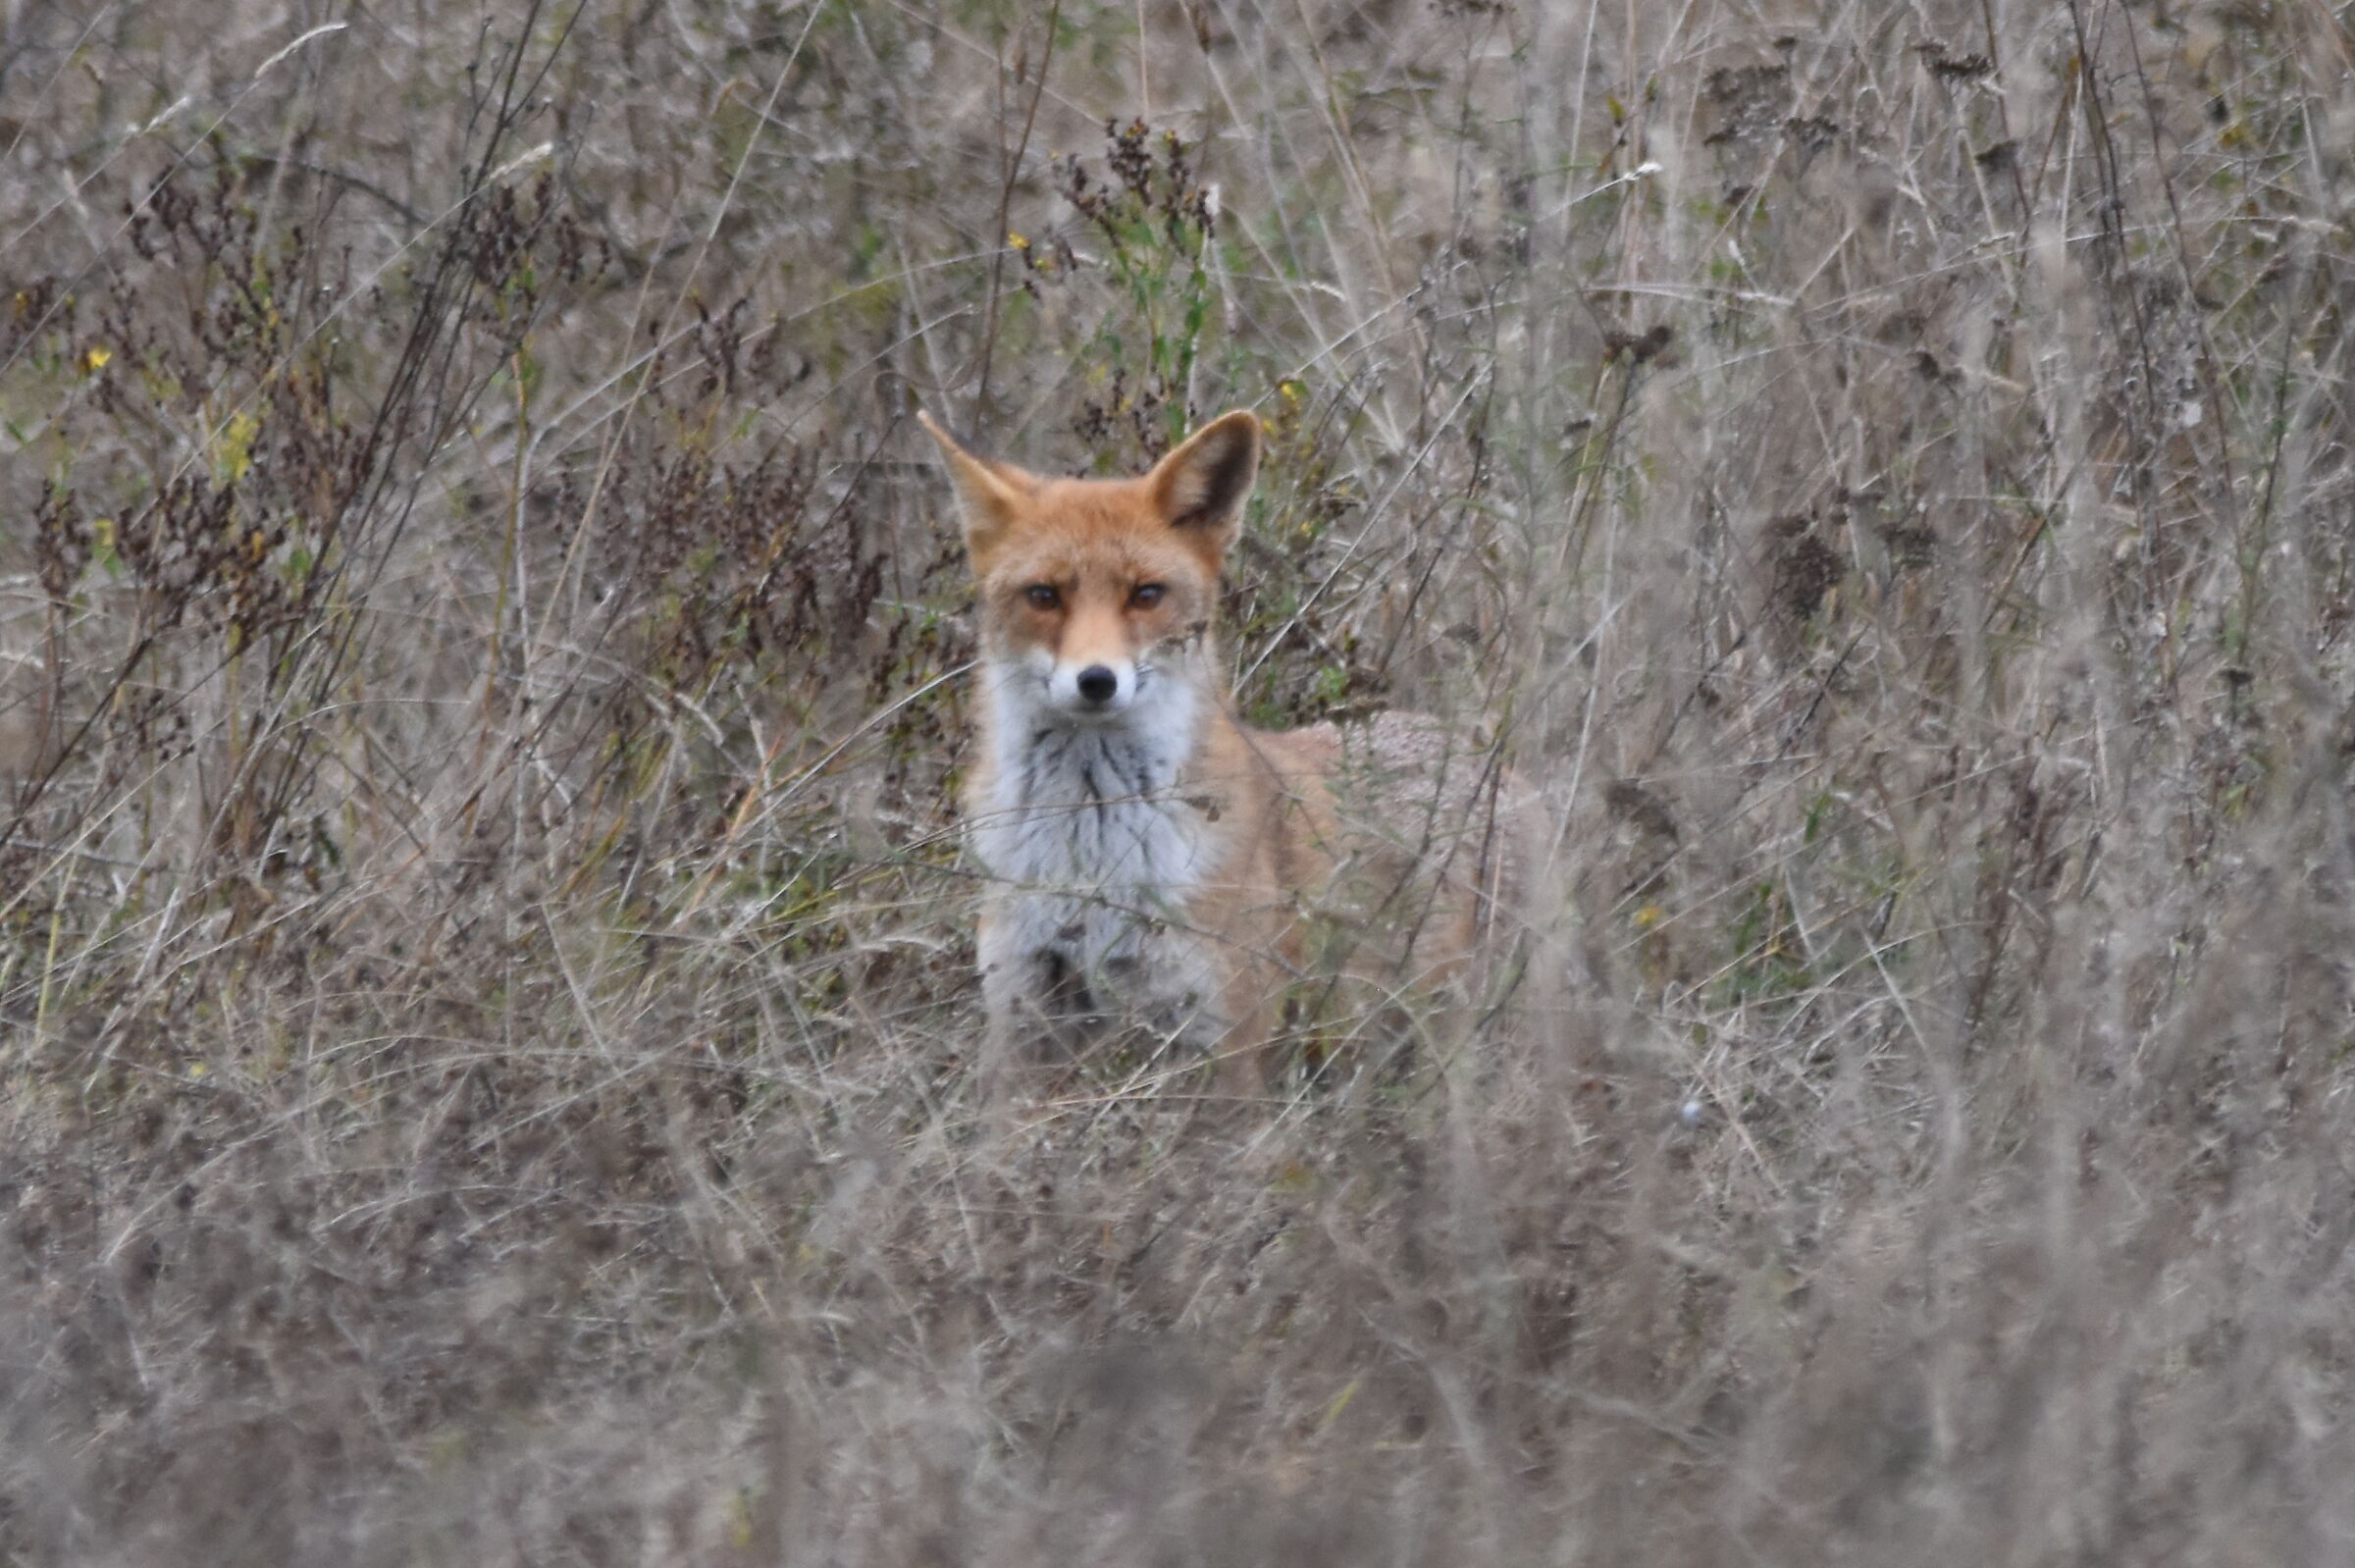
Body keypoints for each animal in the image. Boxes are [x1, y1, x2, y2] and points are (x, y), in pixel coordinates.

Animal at [919, 405, 1538, 1101]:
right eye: (1044, 595)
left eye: (1146, 594)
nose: (1097, 680)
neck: (1091, 848)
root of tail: (1490, 763)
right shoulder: (1023, 1018)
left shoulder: (1226, 1042)